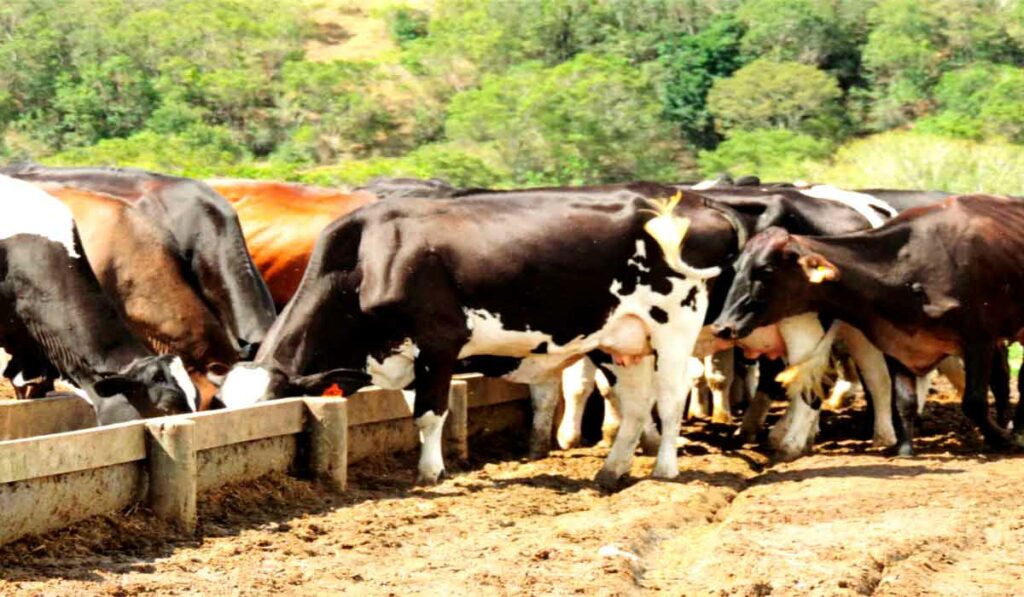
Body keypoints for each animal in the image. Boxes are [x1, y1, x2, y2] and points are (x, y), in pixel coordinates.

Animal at [218, 184, 745, 487]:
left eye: (270, 407)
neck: (370, 257)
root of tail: (699, 205)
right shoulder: (406, 355)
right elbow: (415, 410)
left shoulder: (439, 342)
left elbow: (430, 413)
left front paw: (431, 473)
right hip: (620, 341)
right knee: (635, 405)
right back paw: (611, 472)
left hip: (675, 325)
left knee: (671, 397)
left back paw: (664, 470)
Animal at [716, 193, 1024, 454]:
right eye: (737, 267)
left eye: (766, 270)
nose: (723, 326)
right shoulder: (899, 341)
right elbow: (904, 400)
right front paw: (905, 450)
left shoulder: (980, 340)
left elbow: (974, 402)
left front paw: (1002, 439)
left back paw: (1015, 428)